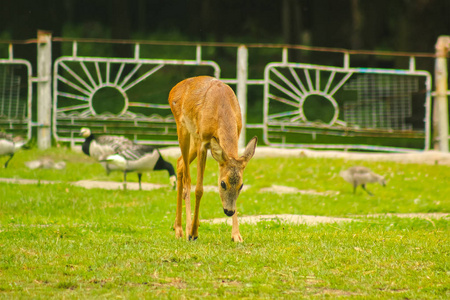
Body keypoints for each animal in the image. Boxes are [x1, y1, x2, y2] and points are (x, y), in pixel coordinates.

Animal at [169, 75, 258, 241]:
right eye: (222, 184)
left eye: (241, 185)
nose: (229, 211)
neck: (221, 107)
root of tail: (174, 89)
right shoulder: (203, 142)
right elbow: (199, 189)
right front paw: (194, 233)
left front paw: (236, 235)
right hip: (183, 129)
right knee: (187, 179)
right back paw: (185, 229)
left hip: (194, 137)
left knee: (179, 163)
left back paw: (179, 228)